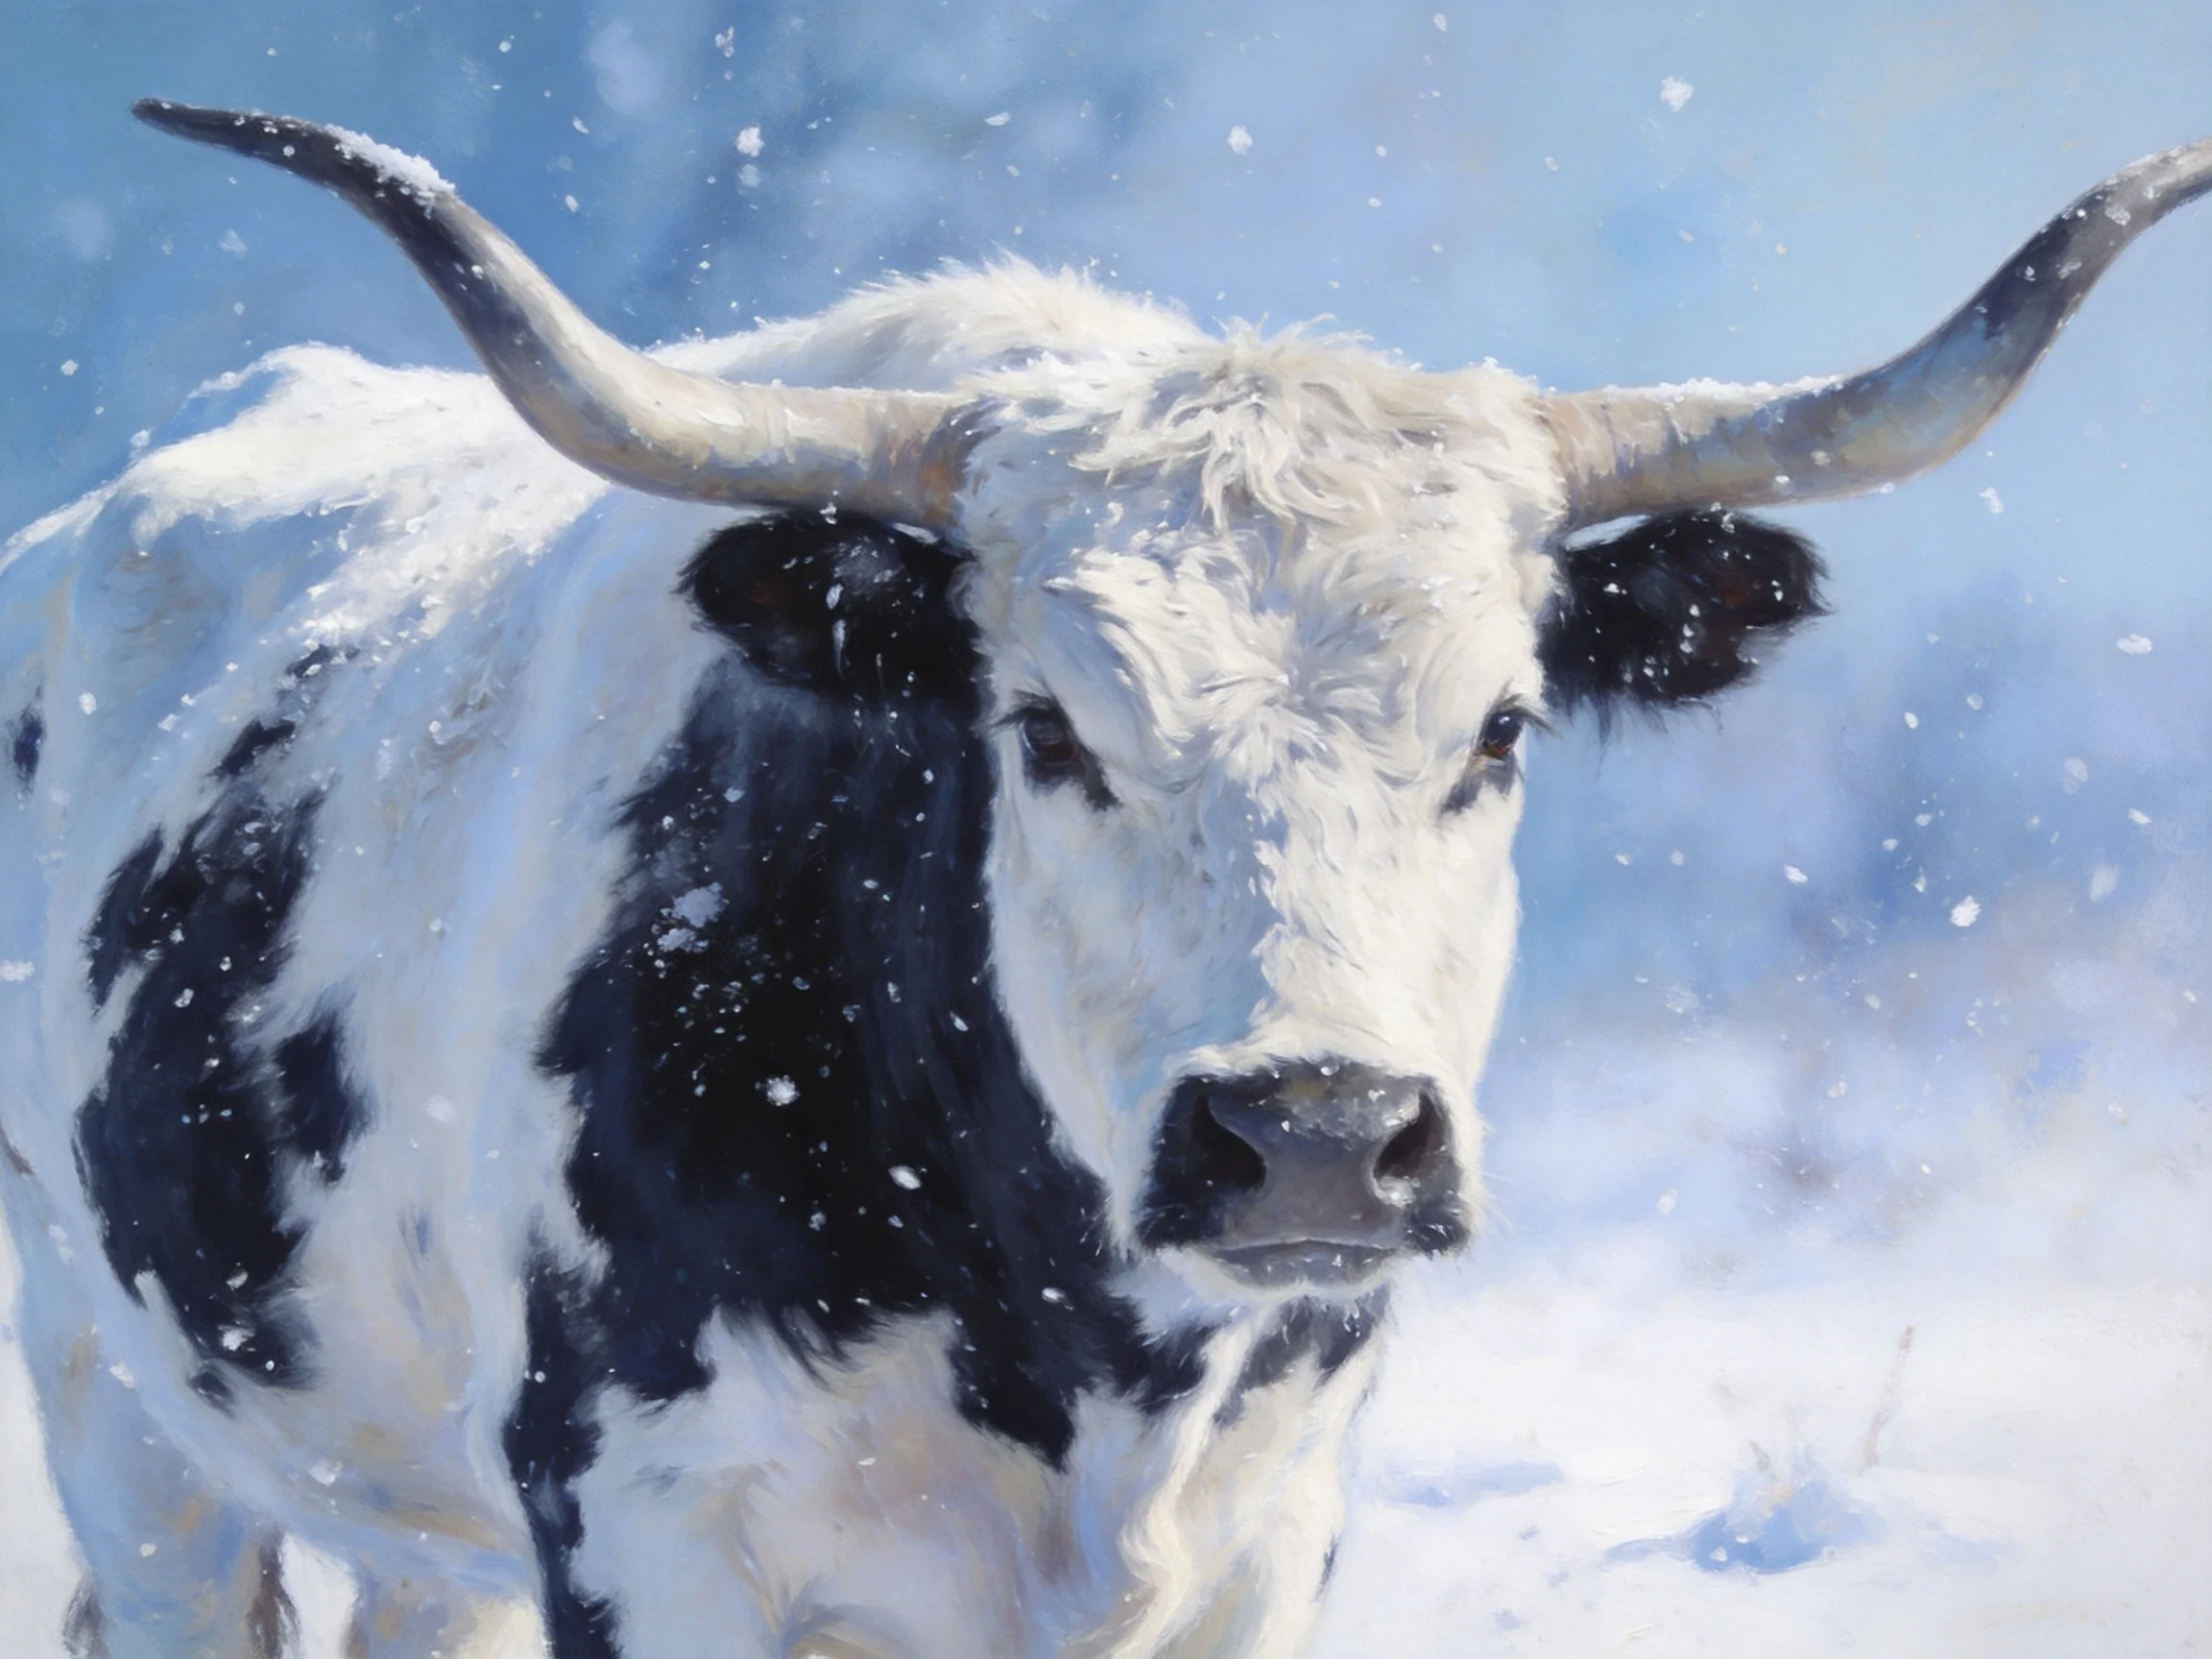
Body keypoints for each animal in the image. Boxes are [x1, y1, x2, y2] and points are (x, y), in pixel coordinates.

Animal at [0, 99, 2204, 1658]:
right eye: (1047, 728)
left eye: (1499, 729)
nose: (1315, 1132)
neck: (1073, 1362)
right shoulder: (648, 1537)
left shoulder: (1268, 1552)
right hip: (123, 1403)